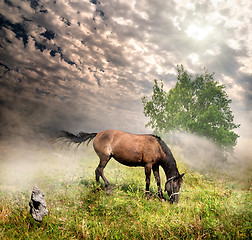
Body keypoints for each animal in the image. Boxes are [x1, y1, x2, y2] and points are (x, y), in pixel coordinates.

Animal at [57, 129, 185, 202]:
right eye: (175, 185)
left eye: (180, 185)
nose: (175, 201)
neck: (157, 146)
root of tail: (98, 134)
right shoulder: (148, 165)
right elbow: (148, 180)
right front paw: (147, 197)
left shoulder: (155, 166)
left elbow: (158, 180)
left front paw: (161, 197)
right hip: (105, 158)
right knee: (99, 170)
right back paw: (106, 188)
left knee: (97, 171)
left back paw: (98, 187)